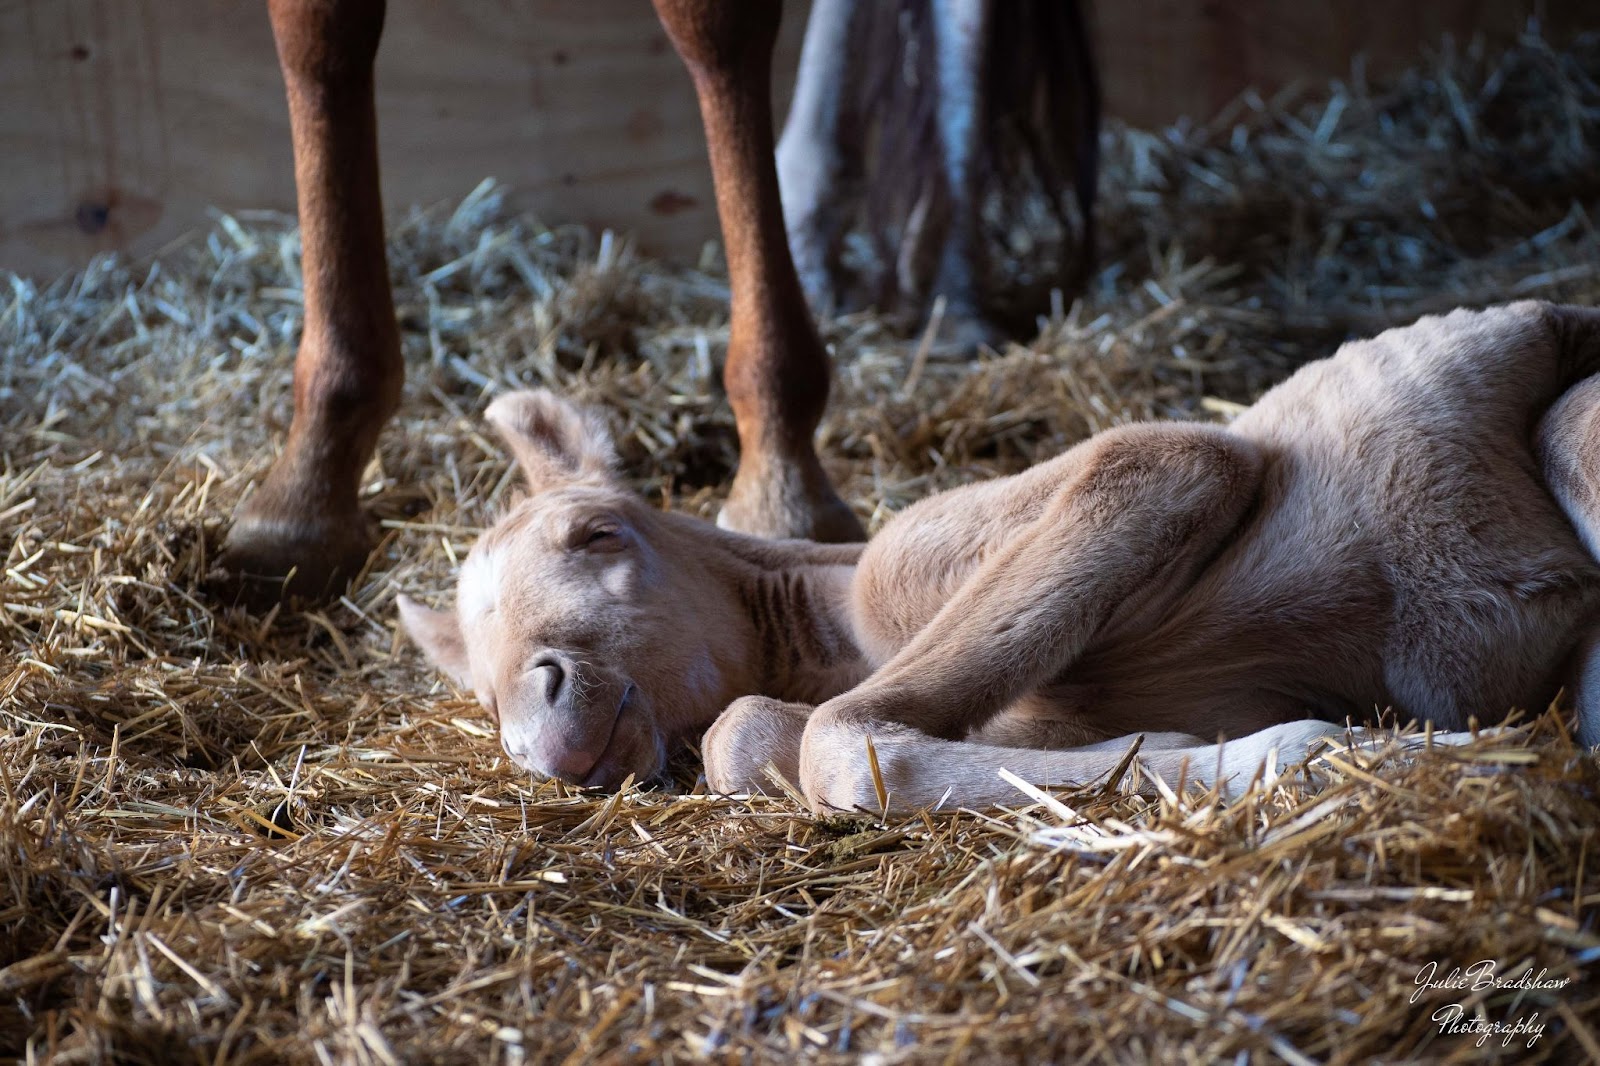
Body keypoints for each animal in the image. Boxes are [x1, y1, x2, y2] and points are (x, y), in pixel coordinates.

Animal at [400, 302, 1600, 809]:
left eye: (598, 532)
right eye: (480, 686)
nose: (543, 726)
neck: (840, 623)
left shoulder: (1151, 460)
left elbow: (838, 744)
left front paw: (1284, 755)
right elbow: (757, 735)